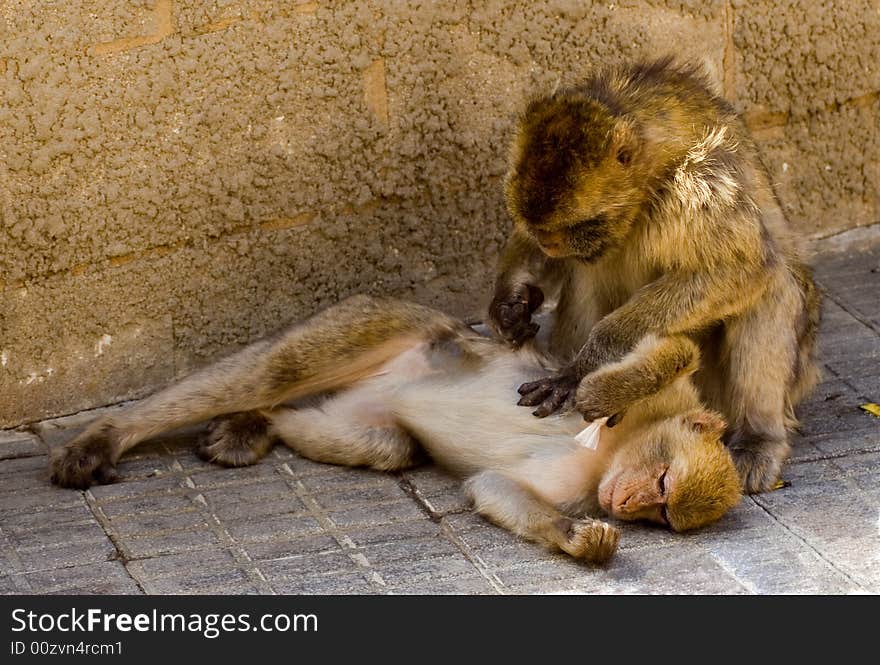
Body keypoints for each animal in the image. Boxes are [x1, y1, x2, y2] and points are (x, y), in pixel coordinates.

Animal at [49, 296, 744, 560]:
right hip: (382, 322)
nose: (627, 503)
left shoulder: (578, 487)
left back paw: (258, 424)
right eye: (663, 484)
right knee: (275, 371)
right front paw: (592, 388)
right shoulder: (666, 402)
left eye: (661, 514)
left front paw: (580, 539)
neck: (612, 454)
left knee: (387, 446)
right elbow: (673, 351)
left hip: (368, 404)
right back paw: (108, 435)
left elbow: (496, 487)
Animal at [492, 57, 820, 492]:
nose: (550, 244)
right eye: (545, 232)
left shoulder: (702, 184)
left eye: (581, 225)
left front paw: (585, 365)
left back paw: (758, 436)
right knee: (587, 272)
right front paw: (510, 302)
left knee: (773, 287)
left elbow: (742, 267)